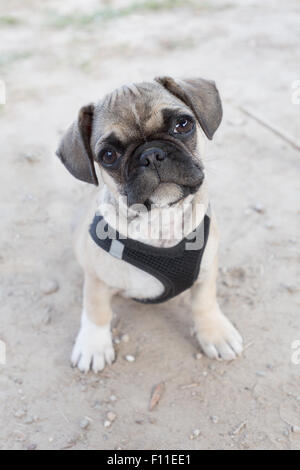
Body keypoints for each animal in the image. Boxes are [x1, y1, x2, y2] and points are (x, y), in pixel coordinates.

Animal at [56, 76, 244, 374]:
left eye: (183, 124)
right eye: (108, 155)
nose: (152, 154)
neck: (160, 221)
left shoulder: (207, 270)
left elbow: (204, 303)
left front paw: (215, 333)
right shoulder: (97, 280)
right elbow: (97, 311)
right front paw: (93, 346)